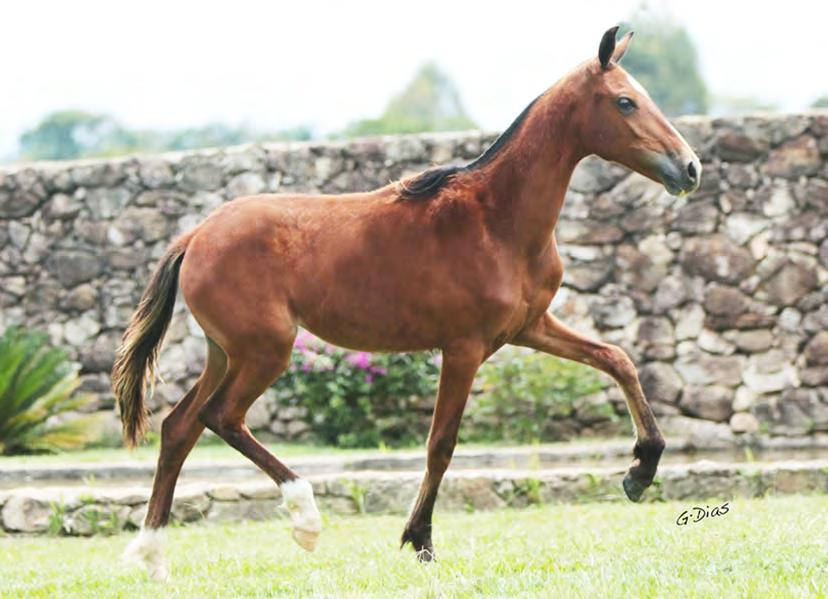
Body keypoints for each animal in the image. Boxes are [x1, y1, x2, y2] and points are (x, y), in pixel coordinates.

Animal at [111, 24, 700, 580]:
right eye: (625, 102)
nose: (690, 168)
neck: (497, 220)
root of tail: (194, 237)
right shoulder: (464, 347)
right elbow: (441, 443)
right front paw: (420, 540)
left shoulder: (529, 326)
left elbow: (616, 359)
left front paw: (641, 470)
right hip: (265, 351)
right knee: (221, 416)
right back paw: (305, 518)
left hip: (225, 352)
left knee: (180, 427)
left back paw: (153, 557)